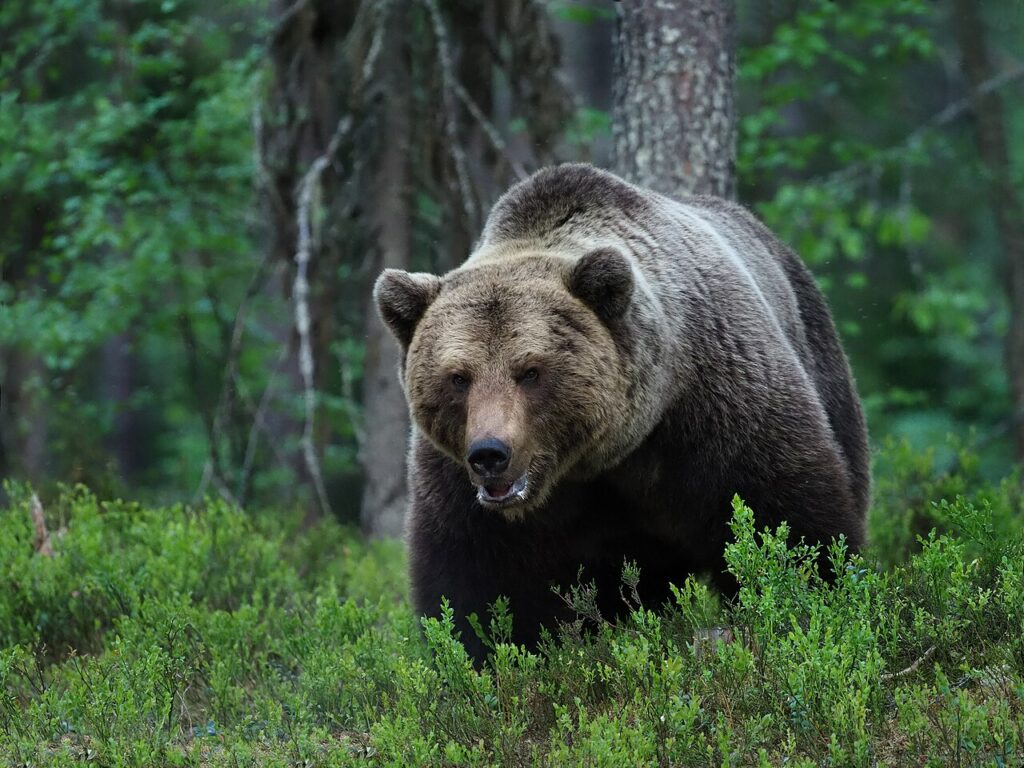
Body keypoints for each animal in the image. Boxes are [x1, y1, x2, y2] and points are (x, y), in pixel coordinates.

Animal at [374, 163, 869, 663]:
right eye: (459, 377)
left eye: (530, 371)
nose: (490, 454)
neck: (597, 459)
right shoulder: (460, 485)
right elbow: (477, 585)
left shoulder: (718, 409)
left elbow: (787, 523)